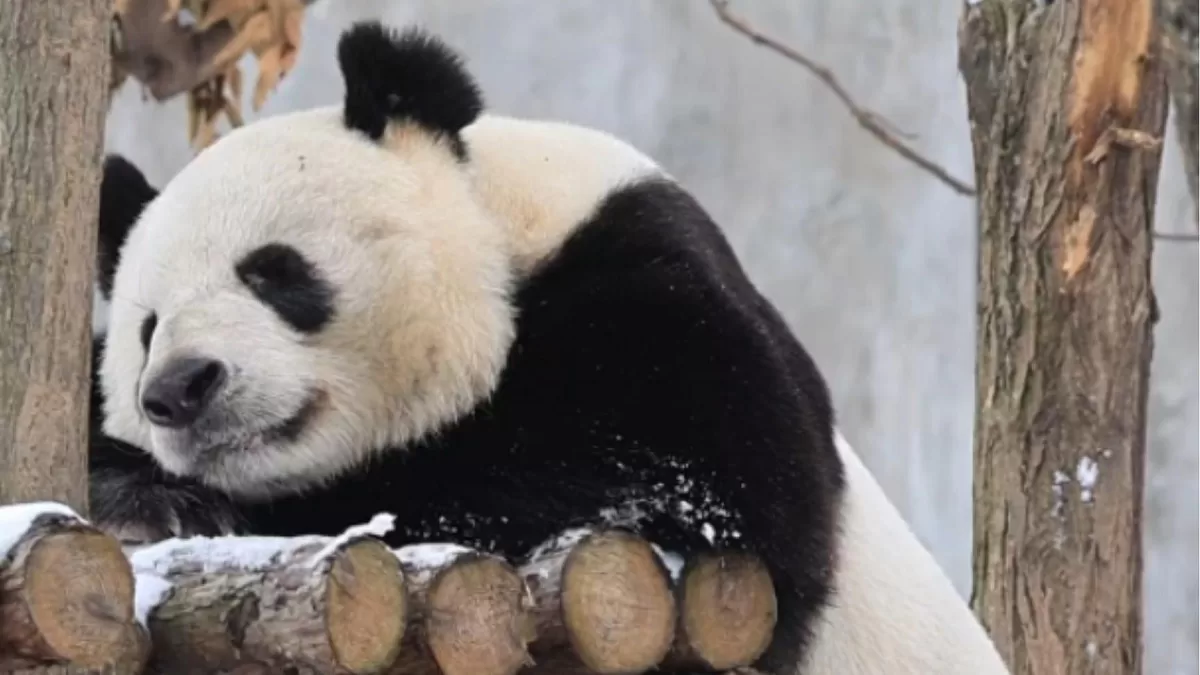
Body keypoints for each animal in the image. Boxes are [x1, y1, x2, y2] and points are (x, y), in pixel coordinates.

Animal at [89, 21, 1010, 675]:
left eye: (275, 271)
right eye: (146, 327)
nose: (180, 387)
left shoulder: (646, 280)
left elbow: (676, 474)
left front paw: (191, 504)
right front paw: (144, 487)